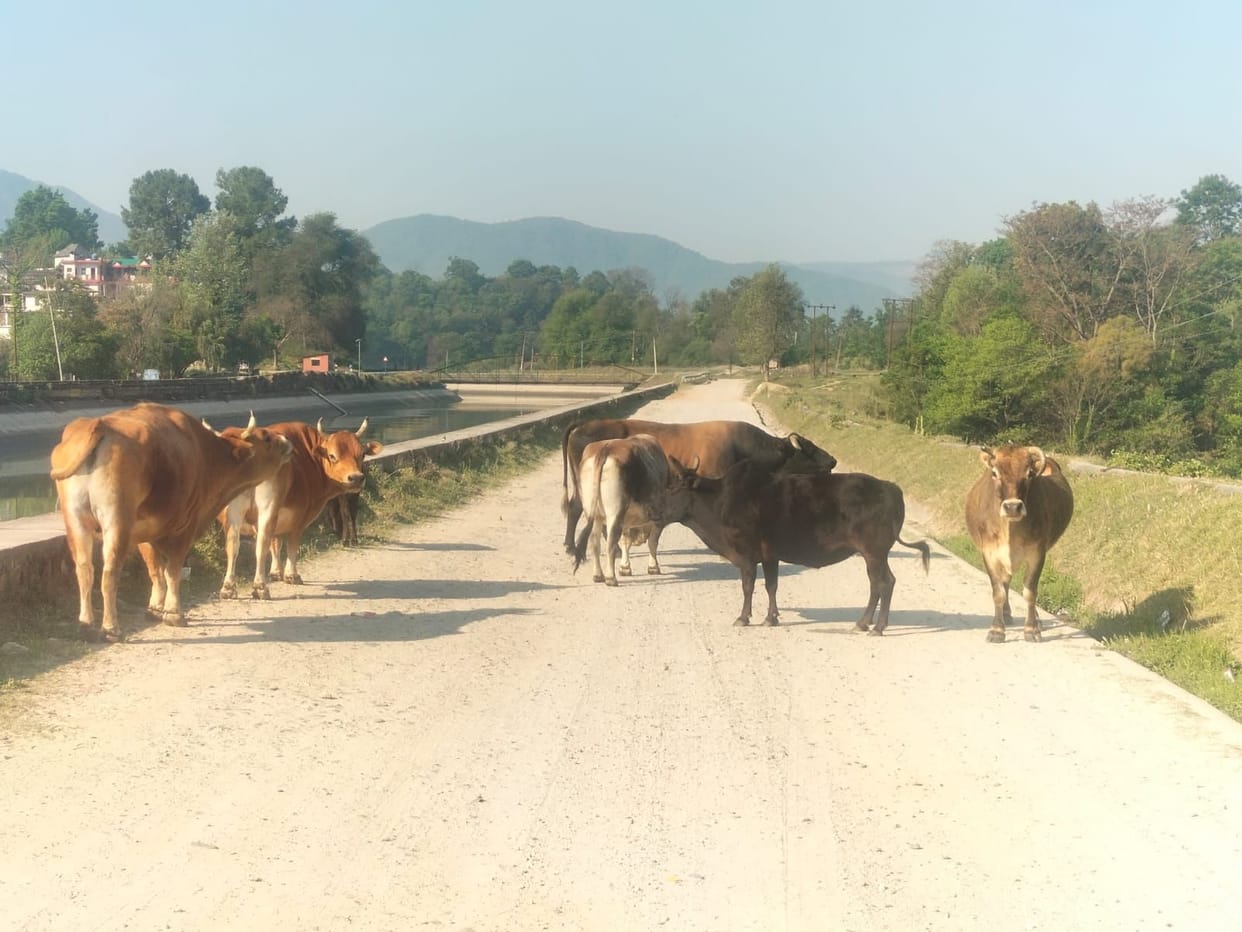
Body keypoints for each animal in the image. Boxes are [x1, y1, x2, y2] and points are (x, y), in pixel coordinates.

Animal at [49, 402, 294, 640]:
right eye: (267, 438)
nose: (287, 442)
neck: (206, 457)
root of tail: (99, 425)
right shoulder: (183, 528)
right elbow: (173, 570)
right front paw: (174, 613)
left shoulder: (146, 532)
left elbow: (155, 570)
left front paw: (155, 608)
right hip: (117, 522)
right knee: (109, 572)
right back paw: (111, 628)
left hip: (76, 521)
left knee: (84, 569)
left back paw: (86, 625)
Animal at [218, 418, 382, 600]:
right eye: (332, 455)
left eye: (362, 454)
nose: (356, 478)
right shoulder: (299, 518)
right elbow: (291, 545)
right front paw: (292, 575)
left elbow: (276, 542)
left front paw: (276, 572)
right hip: (267, 509)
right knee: (261, 543)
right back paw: (260, 587)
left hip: (234, 514)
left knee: (233, 544)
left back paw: (228, 588)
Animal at [570, 434, 676, 585]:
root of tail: (605, 448)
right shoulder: (658, 516)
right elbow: (652, 542)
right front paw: (653, 567)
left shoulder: (627, 520)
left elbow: (626, 540)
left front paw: (625, 567)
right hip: (614, 514)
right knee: (610, 543)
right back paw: (610, 578)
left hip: (594, 514)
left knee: (595, 541)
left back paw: (598, 575)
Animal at [665, 457, 930, 630]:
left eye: (675, 487)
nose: (656, 510)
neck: (720, 501)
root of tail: (890, 488)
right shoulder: (770, 556)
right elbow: (771, 586)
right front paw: (771, 617)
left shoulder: (747, 555)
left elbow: (748, 586)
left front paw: (743, 617)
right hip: (876, 554)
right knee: (882, 583)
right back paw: (868, 623)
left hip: (874, 552)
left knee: (882, 583)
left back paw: (873, 626)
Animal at [965, 445, 1074, 643]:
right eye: (994, 472)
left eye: (1029, 473)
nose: (1012, 507)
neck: (1010, 529)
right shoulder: (989, 554)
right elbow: (998, 592)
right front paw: (997, 630)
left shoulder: (1037, 554)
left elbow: (1030, 592)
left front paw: (1031, 629)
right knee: (1005, 581)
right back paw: (1006, 615)